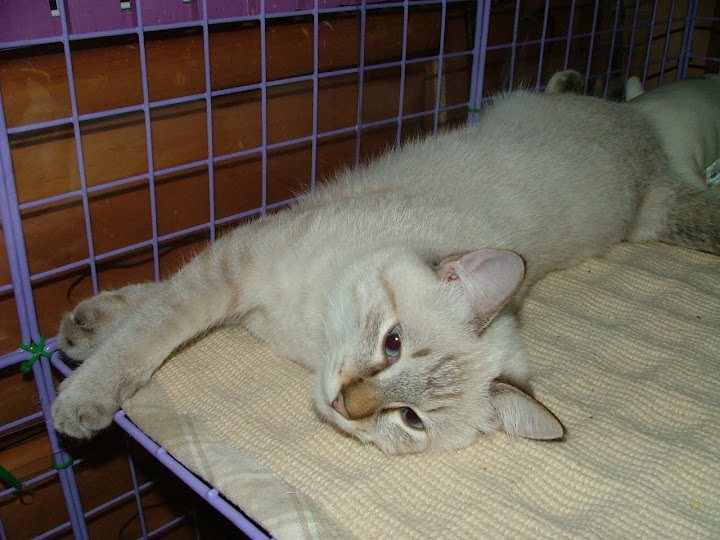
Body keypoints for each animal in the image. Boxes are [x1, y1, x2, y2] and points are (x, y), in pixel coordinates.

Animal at [51, 87, 720, 455]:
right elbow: (151, 321)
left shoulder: (237, 286)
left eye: (410, 420)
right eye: (392, 343)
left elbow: (152, 310)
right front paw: (83, 378)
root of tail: (654, 168)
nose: (346, 403)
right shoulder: (236, 264)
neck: (310, 333)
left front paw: (84, 352)